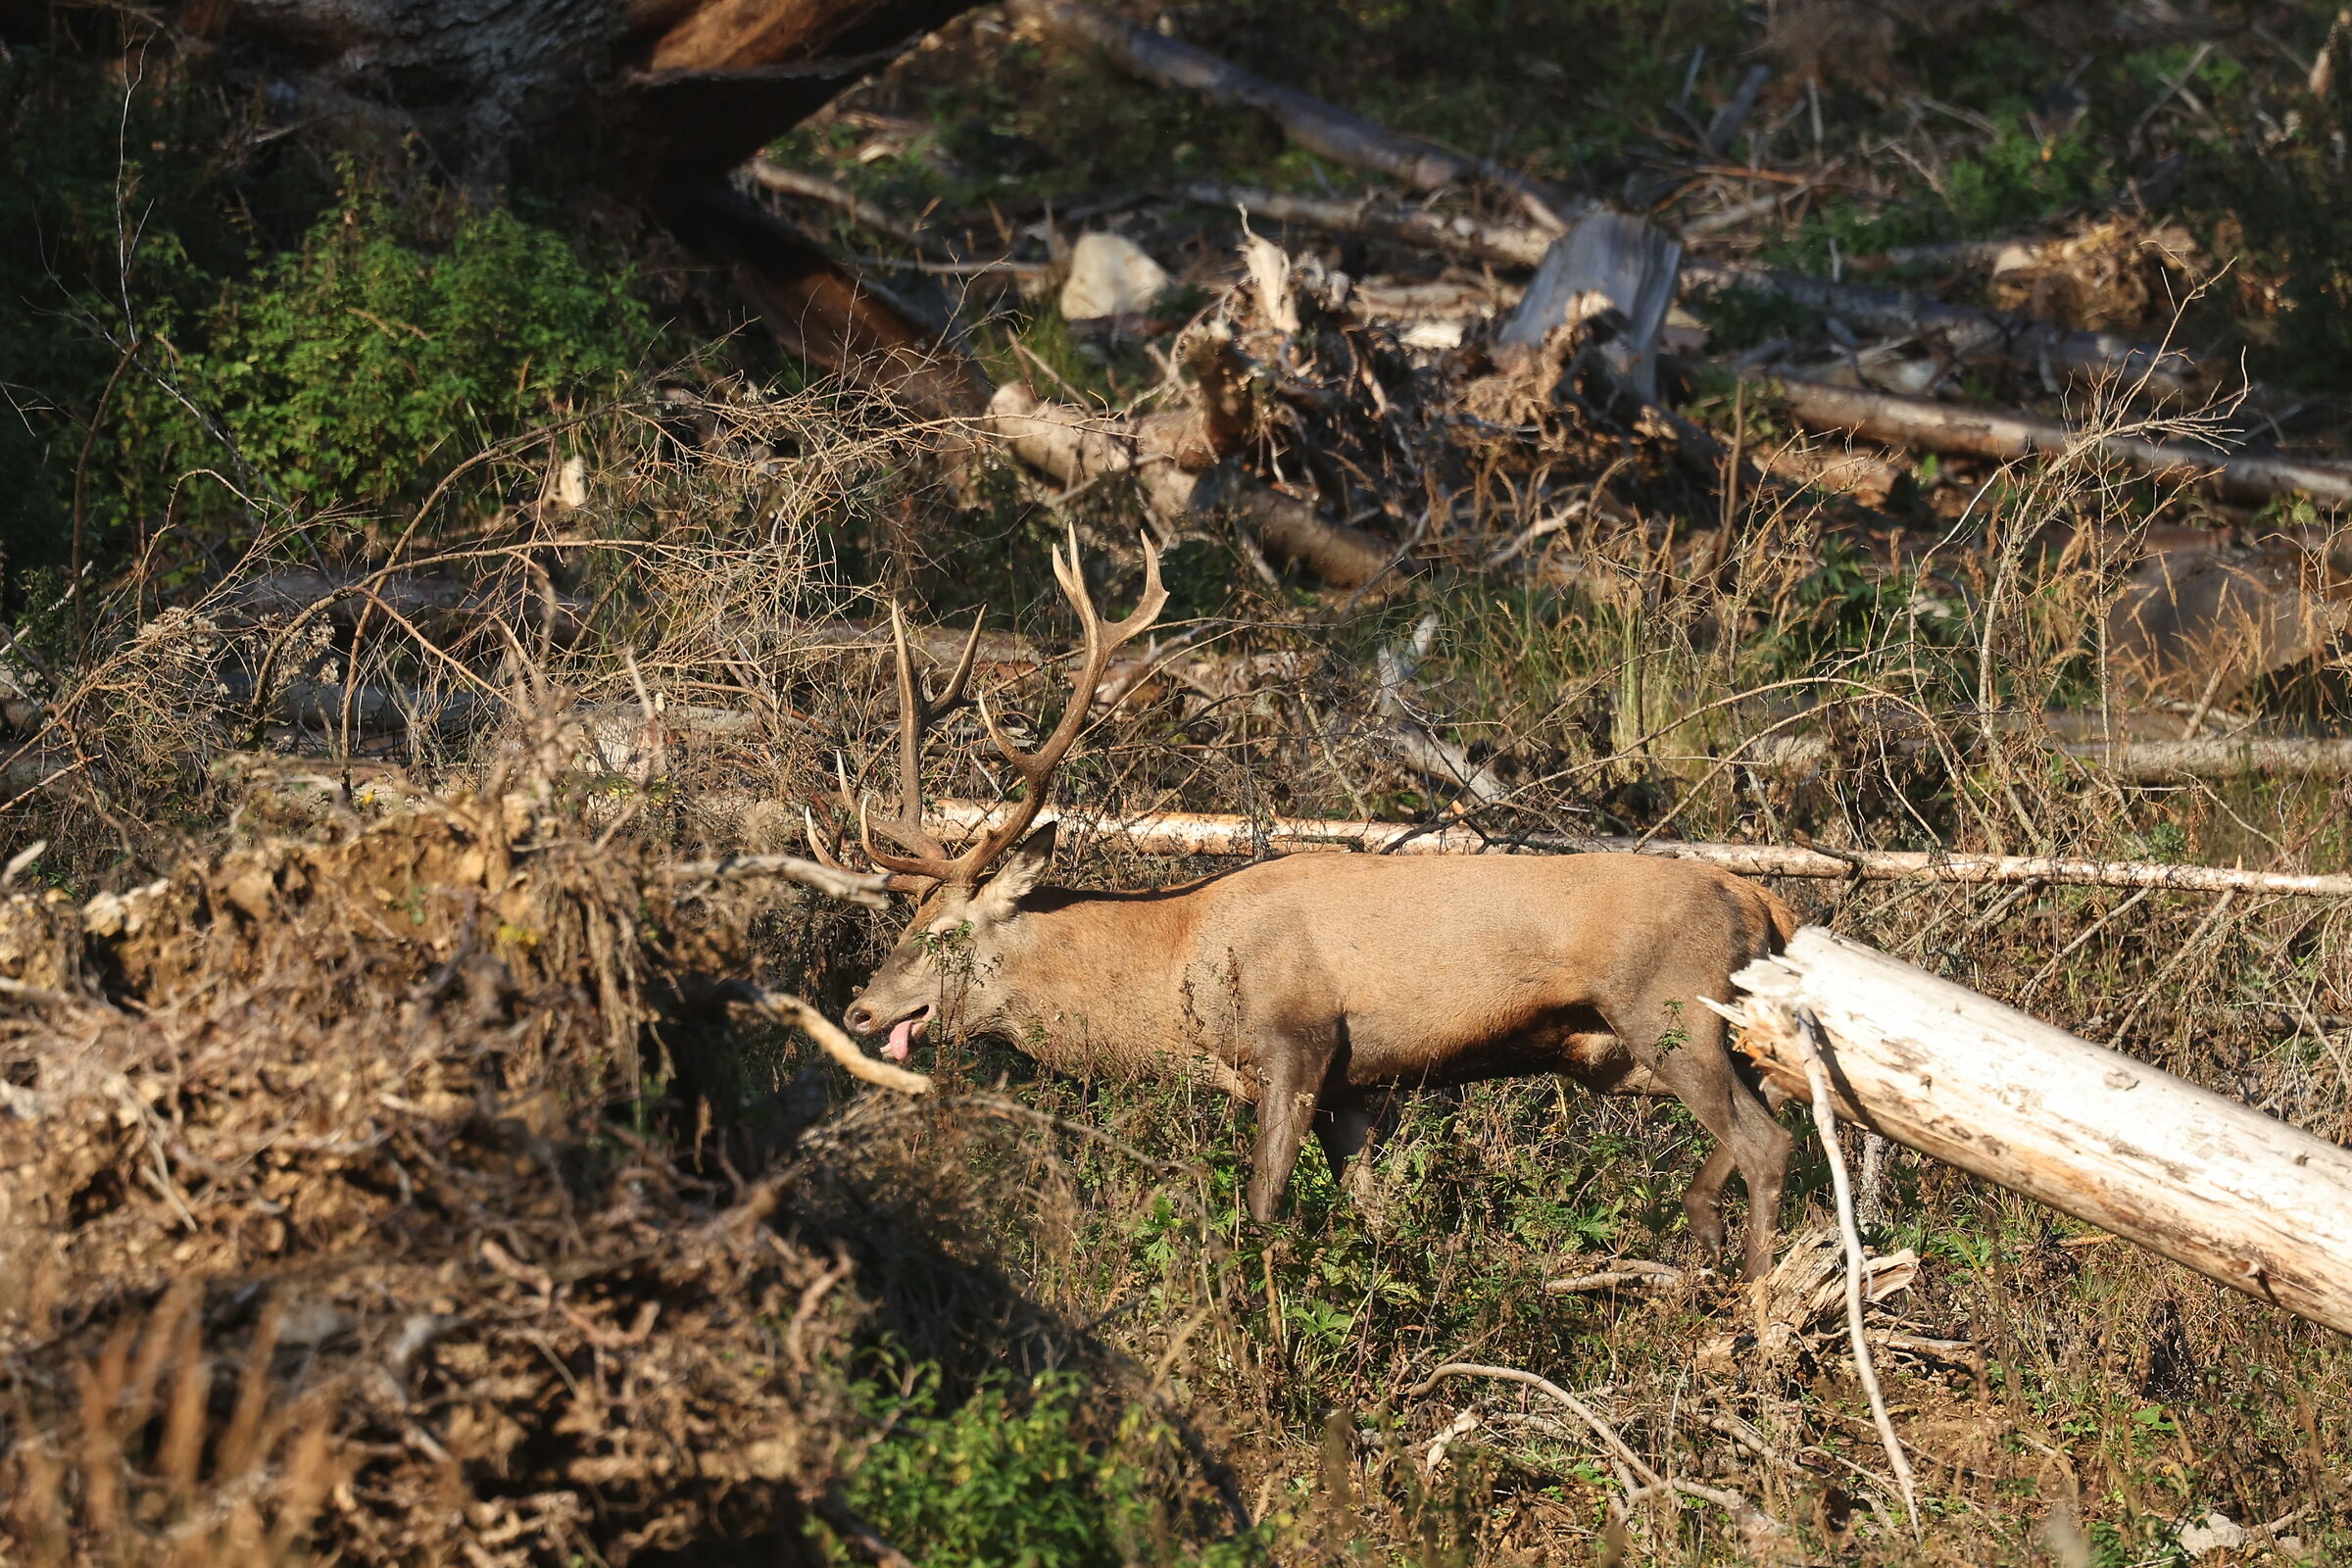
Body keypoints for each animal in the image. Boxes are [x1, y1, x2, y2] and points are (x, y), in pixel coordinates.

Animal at [822, 528, 1801, 1279]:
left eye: (945, 934)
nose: (860, 1007)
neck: (1178, 962)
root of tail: (1762, 900)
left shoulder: (1297, 1033)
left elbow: (1263, 1201)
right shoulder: (1355, 1085)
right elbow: (1375, 1213)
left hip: (1671, 1010)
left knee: (1768, 1142)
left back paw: (1750, 1308)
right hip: (1687, 1042)